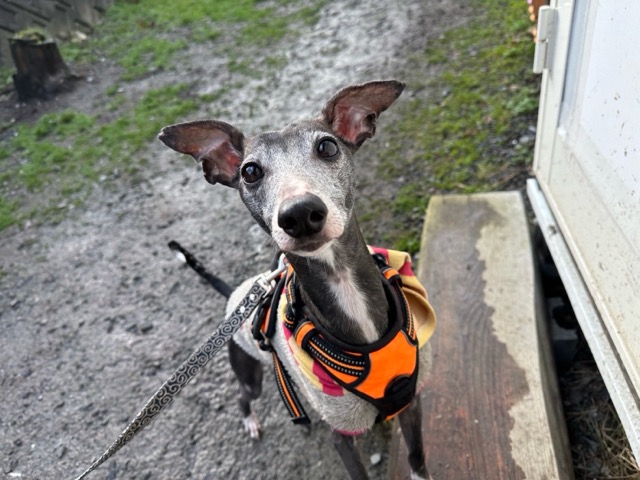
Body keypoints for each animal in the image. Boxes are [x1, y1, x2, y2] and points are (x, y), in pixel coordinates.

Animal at [159, 80, 436, 480]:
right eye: (250, 171)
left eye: (328, 146)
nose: (300, 213)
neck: (345, 288)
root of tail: (236, 297)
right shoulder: (343, 434)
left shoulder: (411, 403)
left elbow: (417, 460)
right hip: (248, 371)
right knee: (244, 396)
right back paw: (251, 421)